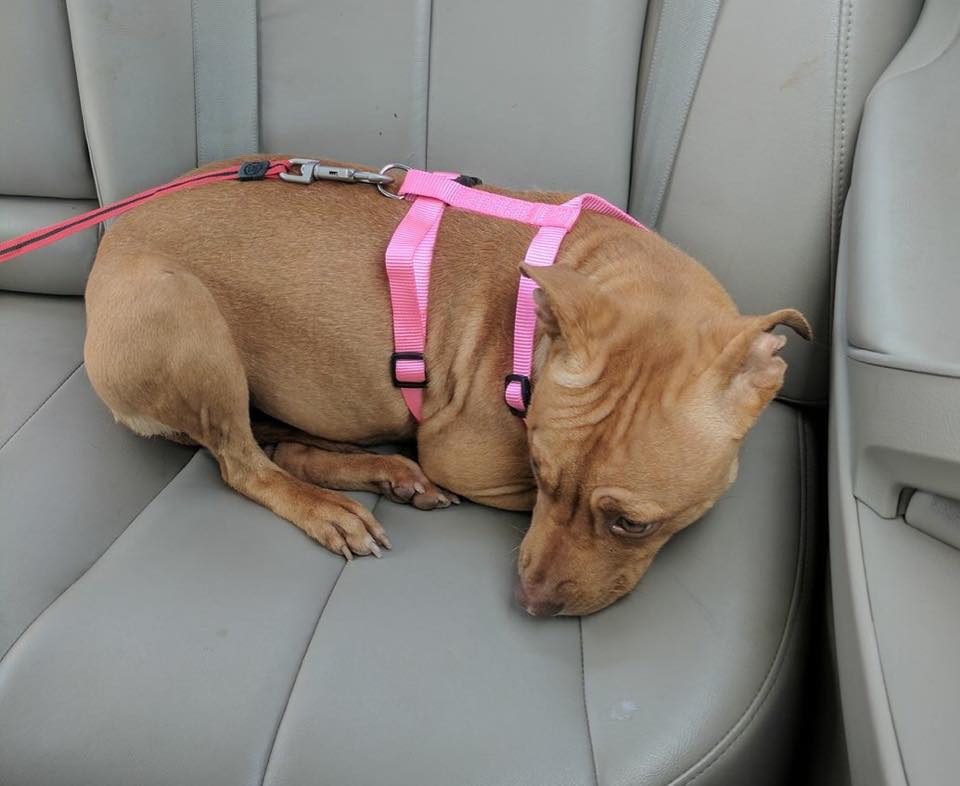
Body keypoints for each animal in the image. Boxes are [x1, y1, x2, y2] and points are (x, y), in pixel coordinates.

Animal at [82, 158, 808, 612]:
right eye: (539, 474)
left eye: (631, 523)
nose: (530, 603)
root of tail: (107, 246)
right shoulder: (469, 458)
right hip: (185, 318)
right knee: (243, 466)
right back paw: (330, 506)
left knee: (284, 446)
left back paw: (382, 475)